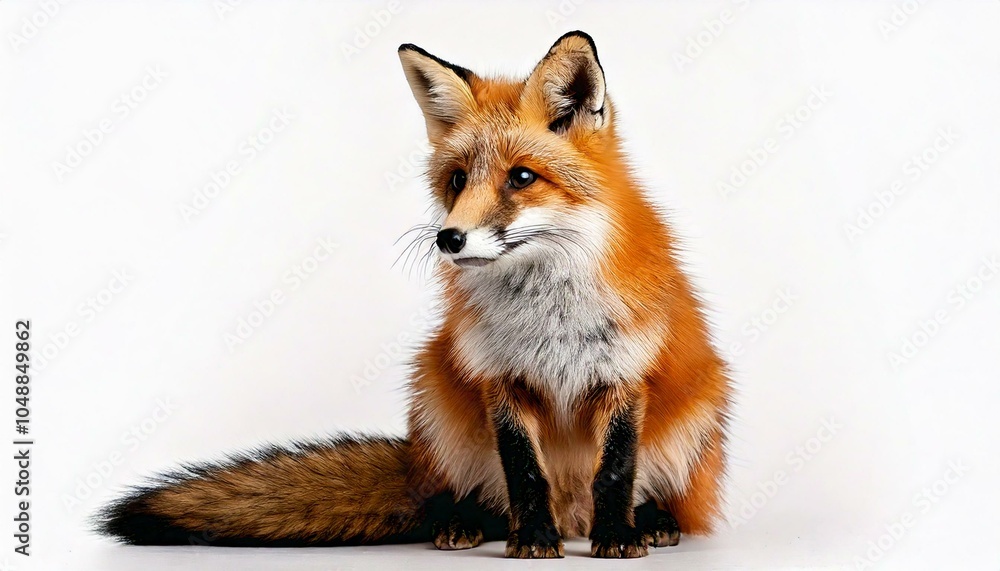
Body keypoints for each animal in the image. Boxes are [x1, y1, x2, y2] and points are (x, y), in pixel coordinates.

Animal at [96, 31, 732, 559]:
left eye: (522, 177)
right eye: (457, 180)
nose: (449, 238)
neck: (547, 316)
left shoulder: (623, 375)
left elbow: (615, 472)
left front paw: (619, 535)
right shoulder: (497, 378)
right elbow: (525, 473)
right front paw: (533, 538)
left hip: (702, 406)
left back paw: (653, 521)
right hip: (433, 383)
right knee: (471, 494)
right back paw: (466, 522)